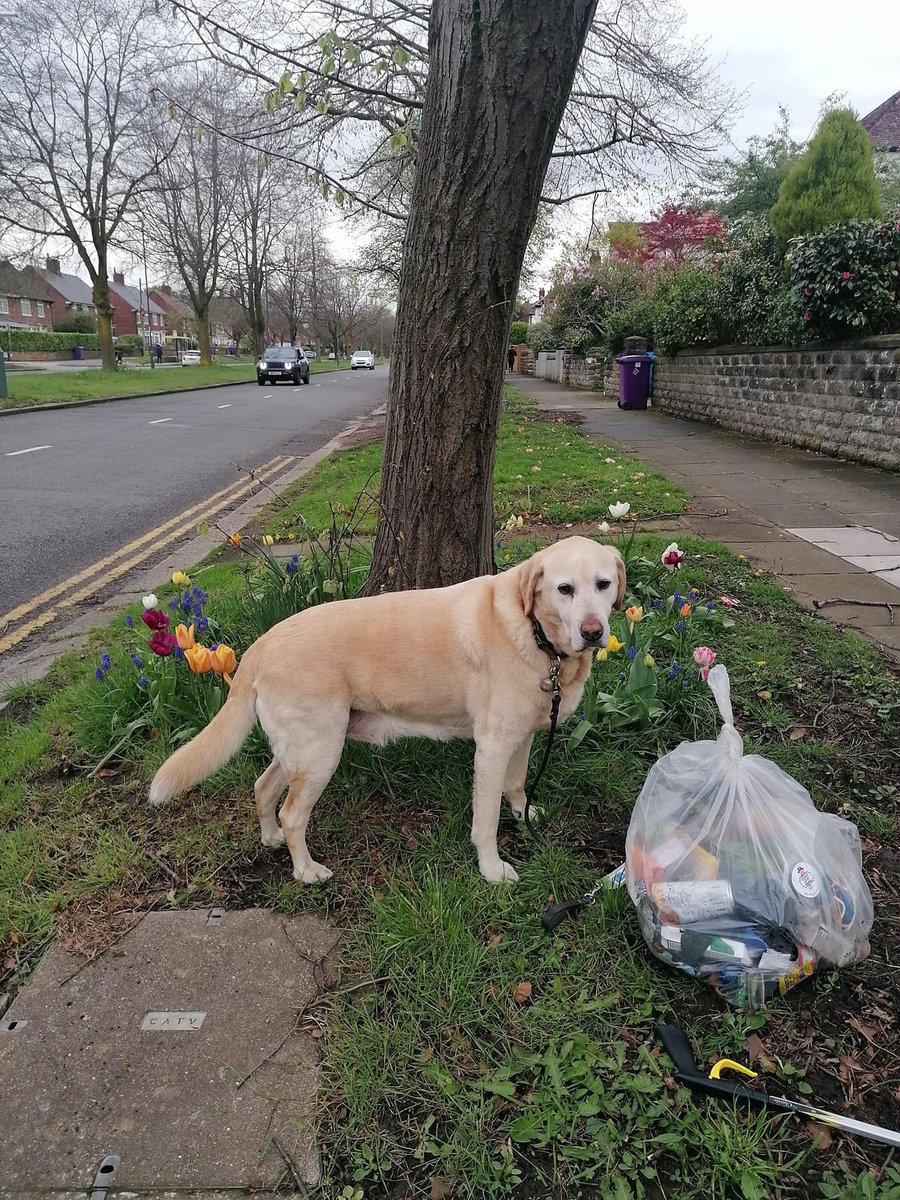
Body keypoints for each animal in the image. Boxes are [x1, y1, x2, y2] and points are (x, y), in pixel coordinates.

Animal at [150, 535, 628, 883]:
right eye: (565, 589)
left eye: (603, 584)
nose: (593, 631)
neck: (536, 635)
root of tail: (261, 643)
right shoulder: (491, 747)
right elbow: (485, 819)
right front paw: (492, 870)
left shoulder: (523, 735)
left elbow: (516, 784)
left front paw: (524, 814)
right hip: (321, 751)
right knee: (291, 814)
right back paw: (306, 871)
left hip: (300, 750)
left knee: (263, 789)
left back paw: (270, 839)